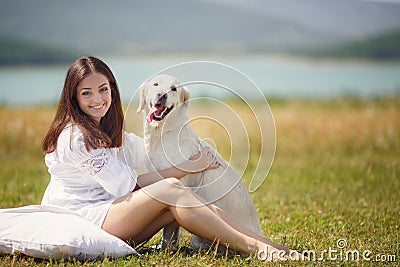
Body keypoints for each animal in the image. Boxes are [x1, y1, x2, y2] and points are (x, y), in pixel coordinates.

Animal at [138, 74, 262, 252]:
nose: (162, 95)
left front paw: (166, 250)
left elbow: (169, 230)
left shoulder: (176, 185)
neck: (162, 133)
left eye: (174, 89)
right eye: (155, 84)